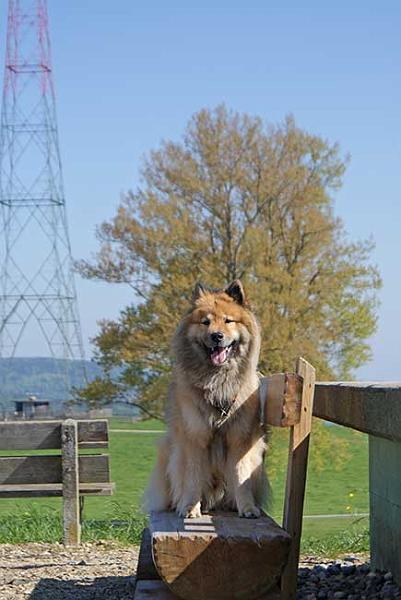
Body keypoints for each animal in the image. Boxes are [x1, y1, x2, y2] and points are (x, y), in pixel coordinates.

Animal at [145, 278, 268, 516]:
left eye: (228, 321)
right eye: (205, 322)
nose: (216, 336)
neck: (218, 381)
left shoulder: (240, 438)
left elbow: (241, 476)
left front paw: (247, 508)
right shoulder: (195, 437)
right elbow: (193, 477)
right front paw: (190, 508)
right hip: (170, 452)